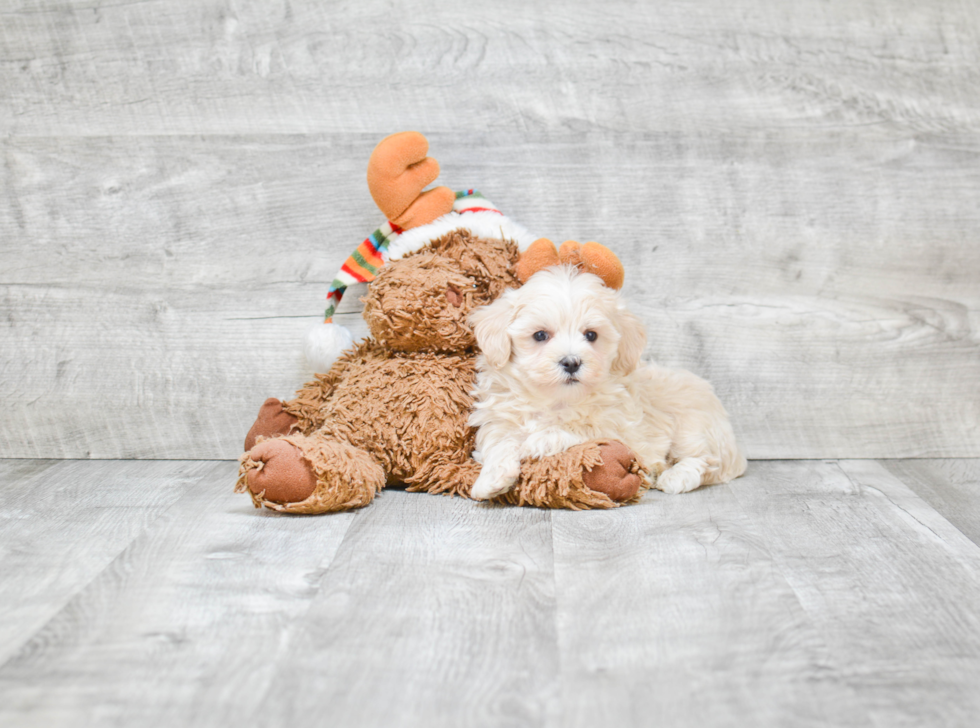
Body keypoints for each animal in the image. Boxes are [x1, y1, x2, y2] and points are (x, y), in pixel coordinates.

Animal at [470, 266, 748, 500]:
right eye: (540, 335)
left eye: (591, 335)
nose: (571, 362)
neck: (557, 400)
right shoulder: (500, 419)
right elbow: (499, 442)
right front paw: (491, 480)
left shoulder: (621, 429)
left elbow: (582, 428)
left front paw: (540, 440)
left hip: (692, 425)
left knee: (706, 459)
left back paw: (676, 476)